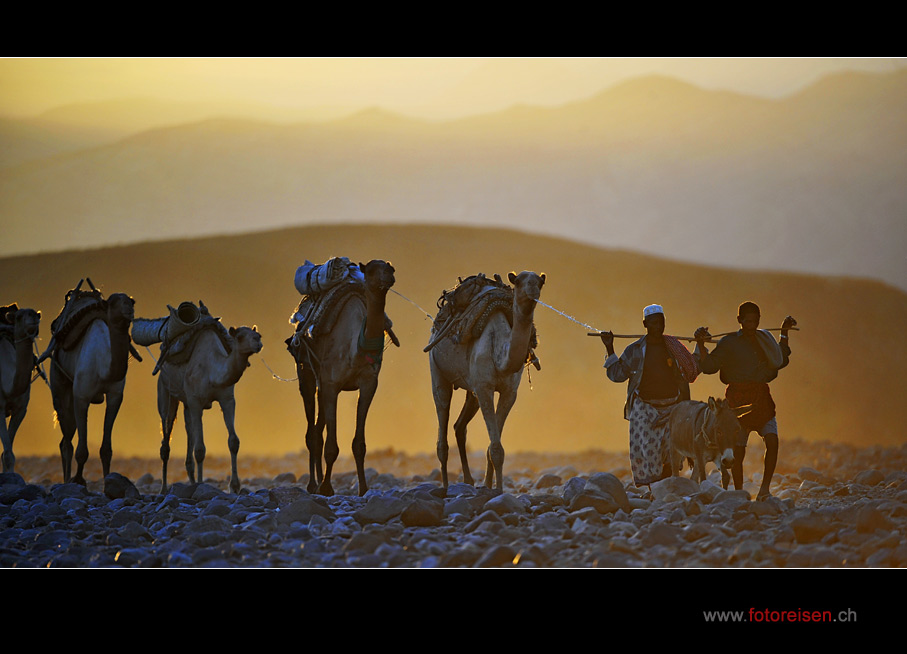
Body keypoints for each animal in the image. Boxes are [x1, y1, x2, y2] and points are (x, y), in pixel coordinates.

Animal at [49, 294, 137, 486]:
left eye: (131, 301)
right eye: (113, 302)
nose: (129, 308)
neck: (103, 366)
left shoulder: (115, 396)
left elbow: (106, 449)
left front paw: (108, 481)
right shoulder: (81, 396)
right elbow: (82, 450)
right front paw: (78, 480)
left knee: (65, 438)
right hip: (58, 382)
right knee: (66, 442)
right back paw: (66, 480)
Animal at [156, 320, 260, 494]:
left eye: (255, 333)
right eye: (239, 337)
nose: (258, 340)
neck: (213, 374)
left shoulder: (227, 399)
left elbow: (233, 441)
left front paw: (235, 486)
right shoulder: (196, 402)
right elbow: (199, 449)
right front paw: (201, 484)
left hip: (186, 402)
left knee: (188, 429)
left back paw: (190, 481)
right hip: (165, 390)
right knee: (166, 434)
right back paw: (164, 489)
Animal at [292, 262, 396, 498]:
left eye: (388, 266)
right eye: (372, 269)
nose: (390, 275)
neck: (355, 348)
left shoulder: (368, 384)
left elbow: (359, 444)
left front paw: (363, 488)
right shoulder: (332, 384)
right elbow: (331, 446)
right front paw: (327, 488)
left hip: (322, 385)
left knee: (318, 429)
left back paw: (318, 481)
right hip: (306, 374)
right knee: (311, 432)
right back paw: (313, 484)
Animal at [428, 270, 544, 492]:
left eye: (540, 282)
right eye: (518, 282)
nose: (533, 291)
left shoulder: (508, 392)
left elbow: (493, 447)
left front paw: (490, 486)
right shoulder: (484, 388)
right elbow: (496, 448)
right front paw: (498, 490)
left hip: (470, 389)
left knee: (459, 426)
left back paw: (468, 480)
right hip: (437, 370)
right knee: (442, 430)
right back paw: (445, 486)